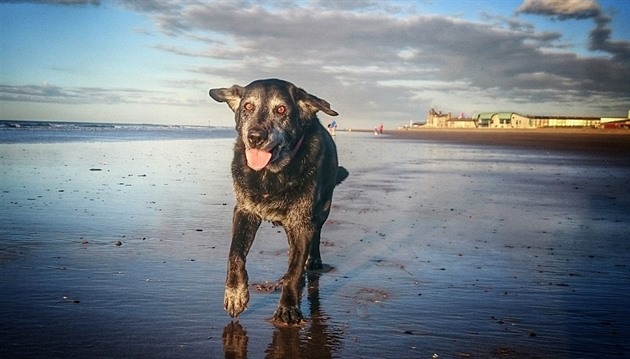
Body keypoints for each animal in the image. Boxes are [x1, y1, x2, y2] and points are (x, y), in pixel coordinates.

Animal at [210, 79, 348, 326]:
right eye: (247, 106)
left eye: (281, 109)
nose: (255, 137)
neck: (270, 175)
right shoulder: (244, 212)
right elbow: (235, 253)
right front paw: (235, 293)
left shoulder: (302, 223)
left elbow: (294, 270)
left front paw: (288, 307)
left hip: (322, 209)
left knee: (316, 235)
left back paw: (313, 260)